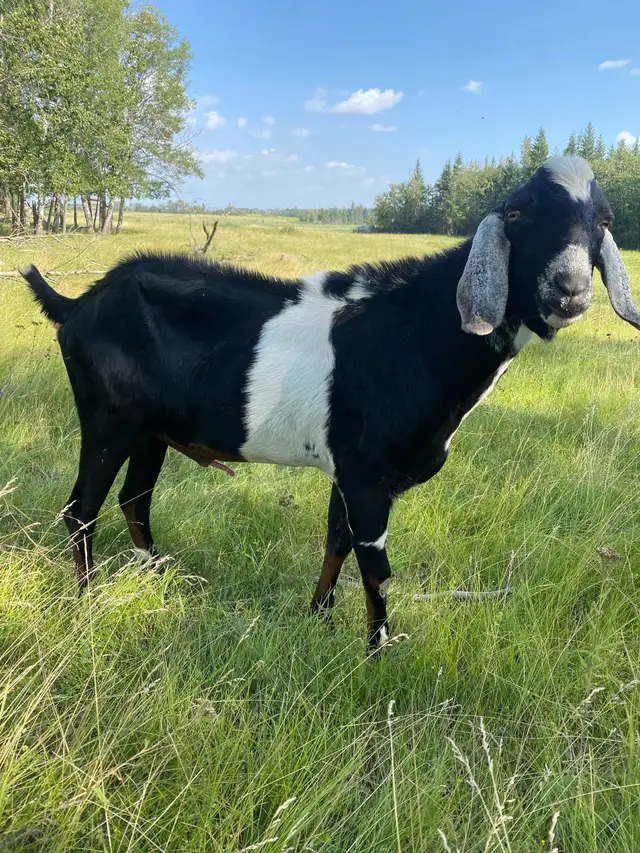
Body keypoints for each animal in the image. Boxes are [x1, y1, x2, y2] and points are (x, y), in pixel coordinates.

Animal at [23, 155, 640, 653]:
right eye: (516, 214)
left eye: (604, 221)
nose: (569, 290)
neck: (415, 330)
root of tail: (77, 303)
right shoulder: (366, 474)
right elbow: (376, 566)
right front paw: (377, 653)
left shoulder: (347, 469)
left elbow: (336, 542)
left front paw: (318, 618)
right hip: (107, 420)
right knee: (81, 509)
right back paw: (84, 600)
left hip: (151, 431)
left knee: (134, 500)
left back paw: (158, 576)